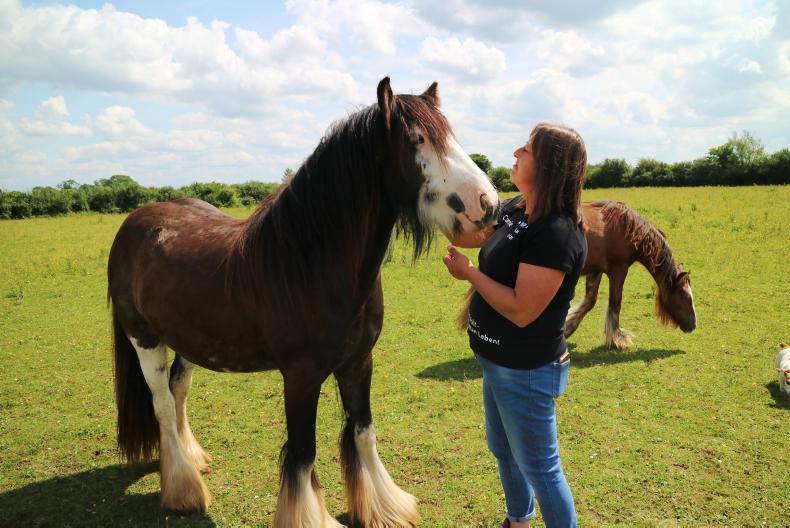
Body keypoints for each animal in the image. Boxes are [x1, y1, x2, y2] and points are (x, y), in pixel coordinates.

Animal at [108, 77, 499, 527]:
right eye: (417, 139)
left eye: (450, 134)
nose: (487, 203)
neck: (311, 262)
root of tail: (135, 223)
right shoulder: (300, 375)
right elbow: (302, 452)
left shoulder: (359, 363)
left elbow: (363, 431)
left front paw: (385, 507)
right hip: (144, 339)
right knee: (162, 405)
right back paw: (183, 489)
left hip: (187, 341)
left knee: (178, 390)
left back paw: (193, 460)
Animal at [564, 200, 697, 349]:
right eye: (685, 297)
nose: (693, 325)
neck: (627, 229)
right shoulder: (619, 270)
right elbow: (615, 303)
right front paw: (617, 339)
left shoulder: (595, 270)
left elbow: (590, 301)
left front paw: (568, 328)